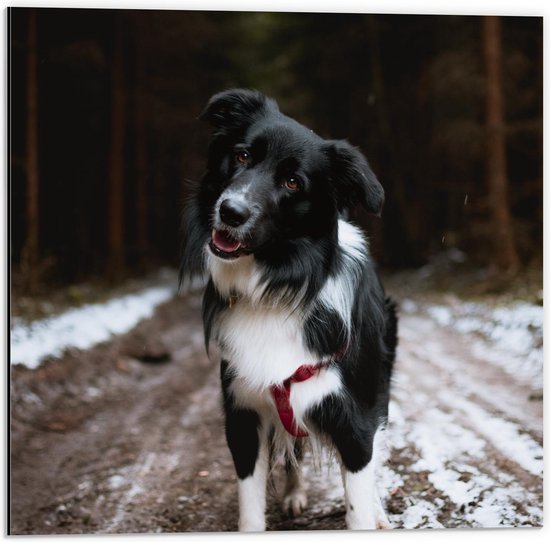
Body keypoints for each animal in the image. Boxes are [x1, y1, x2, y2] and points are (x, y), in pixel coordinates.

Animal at [183, 90, 398, 536]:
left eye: (293, 182)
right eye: (242, 155)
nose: (230, 211)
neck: (277, 287)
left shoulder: (354, 420)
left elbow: (359, 501)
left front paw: (370, 512)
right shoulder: (243, 413)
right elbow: (250, 507)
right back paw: (295, 493)